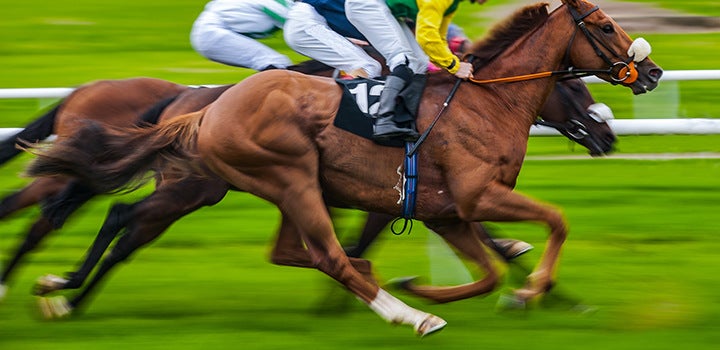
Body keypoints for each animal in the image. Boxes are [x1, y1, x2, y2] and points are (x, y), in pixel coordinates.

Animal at [23, 0, 664, 334]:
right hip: (274, 178)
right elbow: (555, 222)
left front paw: (463, 286)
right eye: (604, 26)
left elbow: (487, 269)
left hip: (269, 186)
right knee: (320, 252)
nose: (652, 73)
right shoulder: (475, 196)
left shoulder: (445, 211)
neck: (486, 102)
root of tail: (206, 106)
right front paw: (531, 291)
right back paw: (406, 314)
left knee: (286, 248)